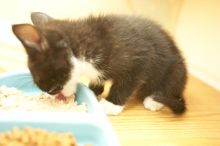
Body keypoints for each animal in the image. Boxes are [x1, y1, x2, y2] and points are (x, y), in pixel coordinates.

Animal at [12, 12, 186, 115]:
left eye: (52, 87)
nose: (50, 93)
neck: (81, 48)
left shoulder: (139, 60)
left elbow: (125, 84)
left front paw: (111, 104)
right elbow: (98, 78)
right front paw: (94, 91)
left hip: (174, 71)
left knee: (168, 85)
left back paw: (154, 100)